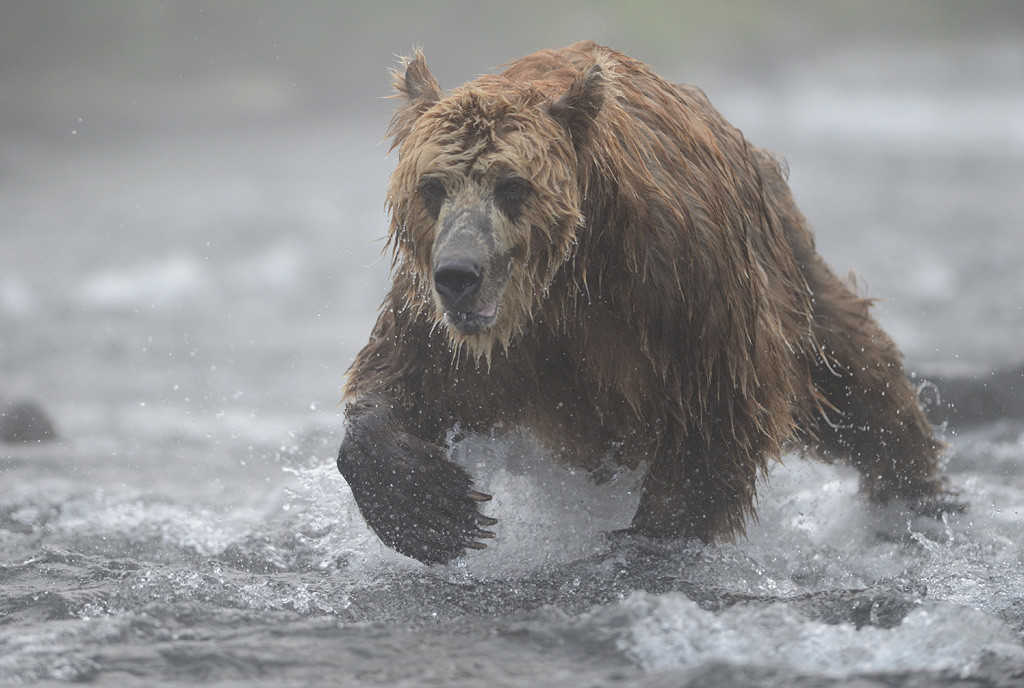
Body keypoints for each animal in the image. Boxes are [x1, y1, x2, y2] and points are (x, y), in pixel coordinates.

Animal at [339, 41, 954, 565]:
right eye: (432, 187)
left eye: (512, 186)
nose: (459, 276)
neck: (564, 279)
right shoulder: (459, 330)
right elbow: (399, 377)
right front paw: (435, 509)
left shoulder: (676, 291)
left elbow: (714, 416)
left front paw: (646, 539)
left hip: (788, 273)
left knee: (853, 373)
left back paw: (918, 496)